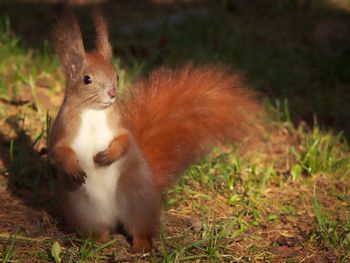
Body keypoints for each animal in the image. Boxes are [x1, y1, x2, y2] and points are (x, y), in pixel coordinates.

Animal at [48, 11, 260, 253]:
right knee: (99, 229)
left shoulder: (119, 125)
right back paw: (98, 242)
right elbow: (58, 151)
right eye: (87, 79)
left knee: (140, 227)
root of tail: (114, 218)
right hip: (84, 209)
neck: (93, 111)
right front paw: (73, 168)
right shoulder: (62, 129)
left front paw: (107, 156)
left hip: (135, 196)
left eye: (116, 75)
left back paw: (139, 244)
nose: (112, 93)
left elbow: (125, 141)